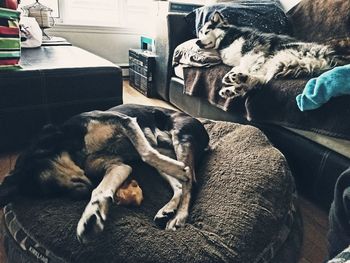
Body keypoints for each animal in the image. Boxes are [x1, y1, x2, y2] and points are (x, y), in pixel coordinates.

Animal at [0, 104, 208, 244]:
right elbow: (100, 190)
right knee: (179, 184)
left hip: (182, 138)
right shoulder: (119, 167)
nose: (79, 196)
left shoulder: (125, 121)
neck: (77, 148)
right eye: (51, 192)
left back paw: (179, 215)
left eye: (51, 183)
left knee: (190, 181)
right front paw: (91, 215)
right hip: (165, 155)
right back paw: (168, 209)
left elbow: (145, 153)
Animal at [197, 12, 350, 99]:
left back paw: (238, 80)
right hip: (277, 61)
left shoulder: (253, 47)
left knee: (262, 79)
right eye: (199, 33)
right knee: (261, 80)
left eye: (206, 31)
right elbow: (241, 66)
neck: (226, 38)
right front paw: (232, 77)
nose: (197, 41)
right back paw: (234, 88)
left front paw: (231, 74)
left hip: (281, 54)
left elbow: (244, 63)